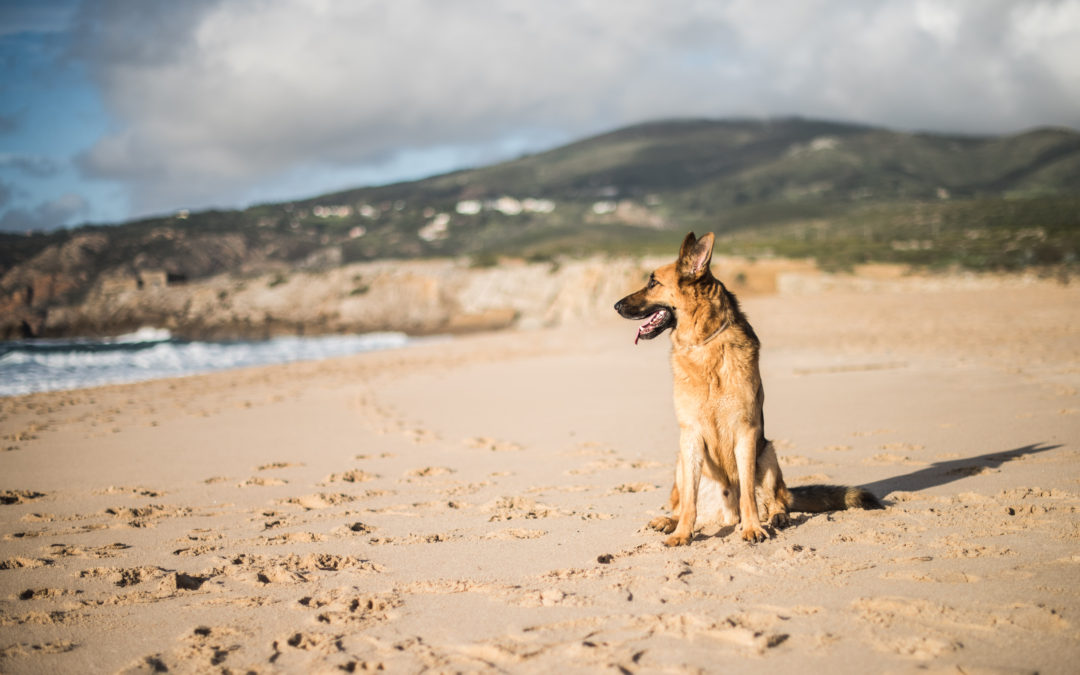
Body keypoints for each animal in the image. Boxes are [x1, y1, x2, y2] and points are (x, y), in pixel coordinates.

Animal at [613, 234, 881, 544]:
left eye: (653, 282)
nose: (616, 306)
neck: (704, 344)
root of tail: (724, 515)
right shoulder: (690, 436)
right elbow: (690, 500)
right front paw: (682, 534)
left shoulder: (746, 432)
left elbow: (748, 495)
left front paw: (752, 527)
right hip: (682, 461)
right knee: (687, 505)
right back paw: (671, 521)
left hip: (768, 453)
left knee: (777, 499)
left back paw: (777, 517)